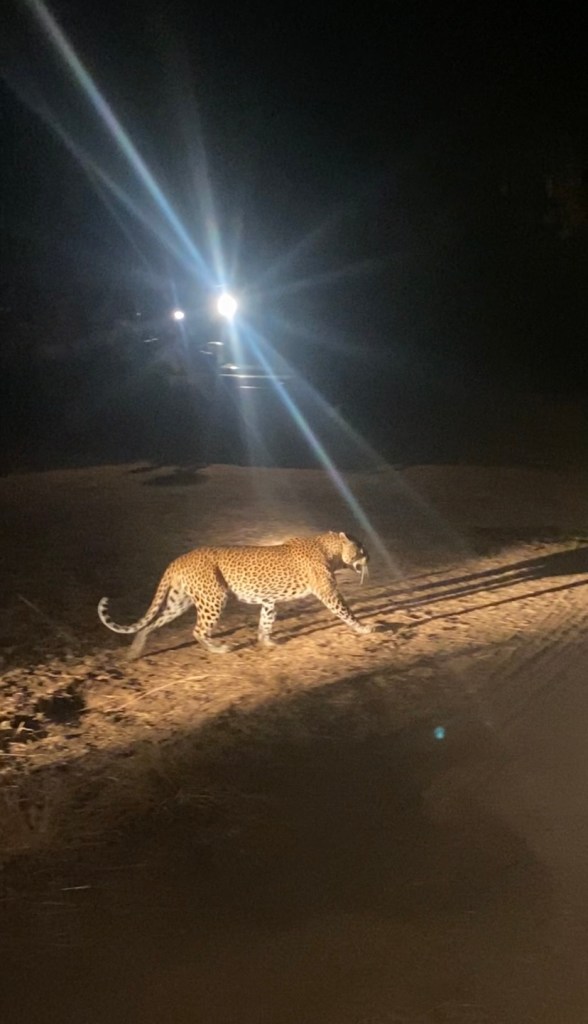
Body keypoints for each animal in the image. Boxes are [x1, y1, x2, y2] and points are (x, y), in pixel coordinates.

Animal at [97, 531, 372, 660]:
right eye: (361, 549)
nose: (370, 557)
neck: (331, 550)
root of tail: (179, 559)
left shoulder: (269, 601)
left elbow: (266, 622)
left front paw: (266, 642)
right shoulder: (329, 593)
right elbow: (347, 612)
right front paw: (365, 629)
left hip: (178, 601)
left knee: (151, 623)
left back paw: (135, 651)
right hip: (214, 597)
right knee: (198, 630)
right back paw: (219, 649)